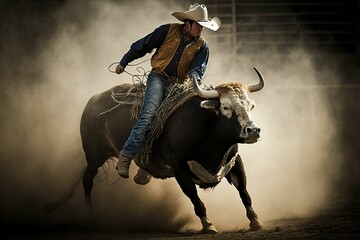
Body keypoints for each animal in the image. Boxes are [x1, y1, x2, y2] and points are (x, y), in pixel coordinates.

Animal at [79, 67, 264, 232]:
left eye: (251, 106)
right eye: (225, 107)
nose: (253, 130)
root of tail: (93, 100)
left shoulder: (234, 159)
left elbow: (244, 191)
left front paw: (255, 221)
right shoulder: (178, 165)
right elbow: (193, 195)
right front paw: (208, 224)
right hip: (94, 155)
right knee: (87, 179)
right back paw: (89, 215)